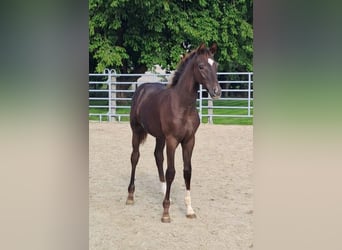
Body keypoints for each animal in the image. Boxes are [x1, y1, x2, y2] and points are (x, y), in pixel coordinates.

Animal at [125, 43, 222, 223]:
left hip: (159, 136)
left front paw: (189, 209)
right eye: (201, 66)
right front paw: (166, 212)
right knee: (135, 157)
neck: (182, 106)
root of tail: (141, 88)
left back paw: (164, 191)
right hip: (136, 130)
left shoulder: (189, 140)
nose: (216, 92)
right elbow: (171, 172)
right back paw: (130, 196)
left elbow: (187, 171)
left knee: (158, 156)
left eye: (216, 65)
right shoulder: (172, 140)